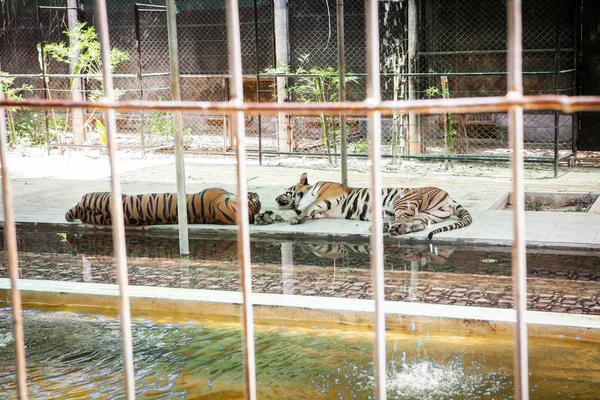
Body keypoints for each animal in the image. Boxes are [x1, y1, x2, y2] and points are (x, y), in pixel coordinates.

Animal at [262, 172, 474, 238]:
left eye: (286, 190)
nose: (276, 198)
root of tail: (448, 196)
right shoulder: (321, 211)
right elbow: (305, 211)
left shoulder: (326, 197)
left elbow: (307, 207)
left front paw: (295, 218)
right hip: (428, 214)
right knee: (416, 223)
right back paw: (393, 228)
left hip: (403, 201)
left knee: (403, 219)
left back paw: (385, 227)